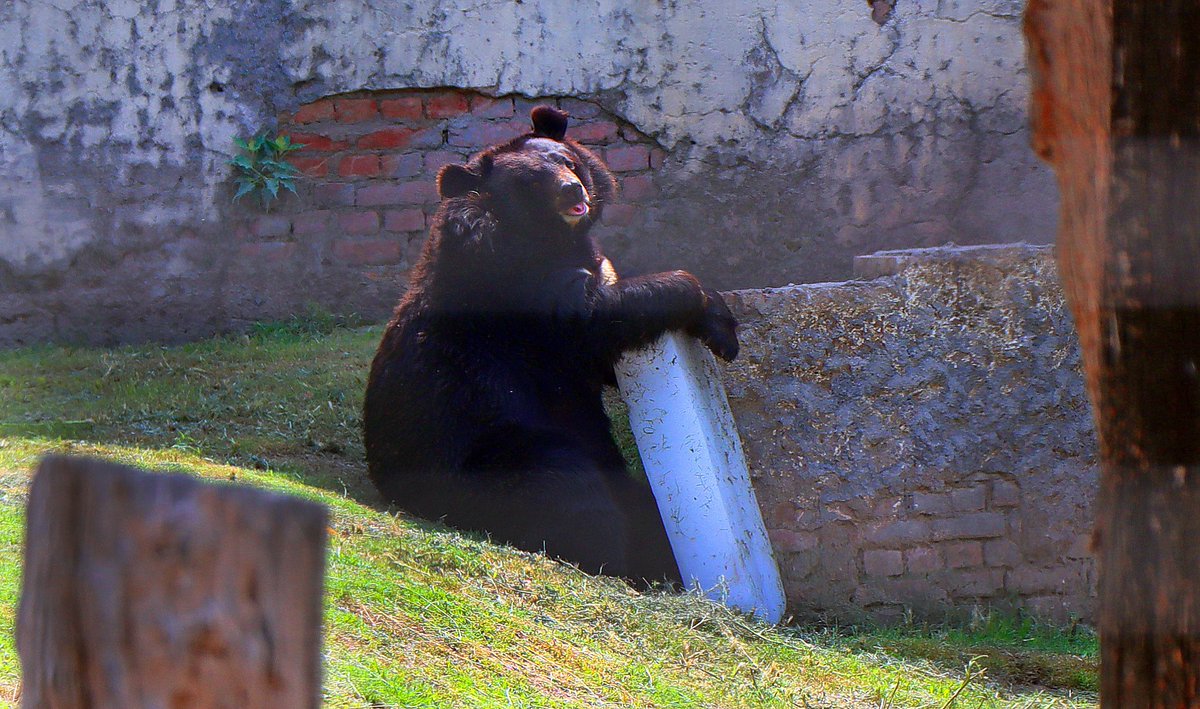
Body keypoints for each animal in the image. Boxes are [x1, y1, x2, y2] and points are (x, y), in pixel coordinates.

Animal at [363, 105, 738, 585]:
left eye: (566, 161)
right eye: (531, 183)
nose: (573, 190)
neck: (553, 240)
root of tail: (388, 480)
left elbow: (603, 357)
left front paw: (721, 332)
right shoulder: (512, 284)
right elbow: (589, 317)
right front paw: (706, 304)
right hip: (490, 453)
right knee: (570, 491)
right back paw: (610, 561)